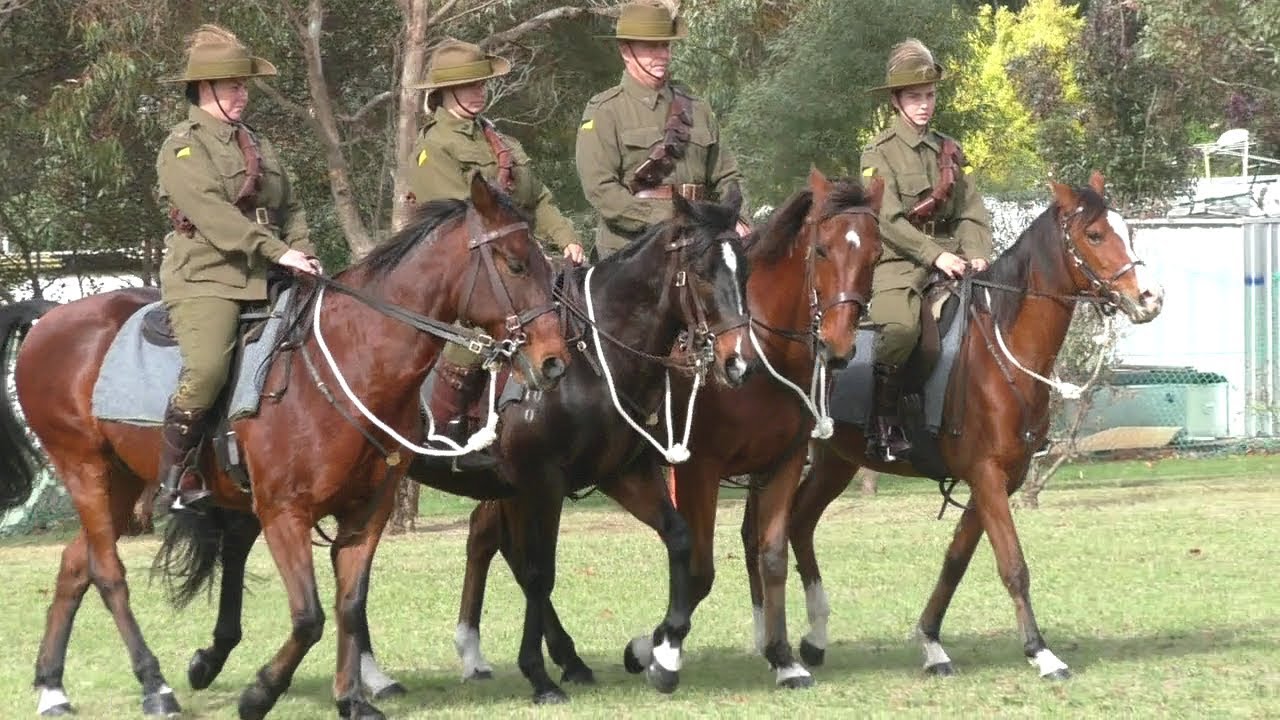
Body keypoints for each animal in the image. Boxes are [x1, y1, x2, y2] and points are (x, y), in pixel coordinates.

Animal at [0, 174, 571, 720]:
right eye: (516, 264)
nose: (554, 362)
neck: (352, 360)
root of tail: (53, 317)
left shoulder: (366, 514)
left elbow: (349, 604)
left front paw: (352, 700)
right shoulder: (284, 514)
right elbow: (309, 616)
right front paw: (259, 694)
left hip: (120, 480)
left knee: (75, 565)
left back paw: (52, 687)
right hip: (84, 470)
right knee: (108, 573)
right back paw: (154, 685)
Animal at [150, 187, 759, 707]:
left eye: (745, 268)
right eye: (702, 270)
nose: (737, 362)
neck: (593, 356)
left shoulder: (618, 474)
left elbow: (680, 542)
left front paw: (659, 653)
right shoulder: (540, 482)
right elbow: (538, 571)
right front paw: (541, 674)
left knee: (252, 545)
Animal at [444, 169, 887, 691]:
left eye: (876, 254)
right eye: (822, 250)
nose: (839, 347)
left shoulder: (781, 464)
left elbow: (771, 555)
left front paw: (782, 657)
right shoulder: (697, 469)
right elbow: (700, 569)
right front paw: (656, 649)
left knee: (489, 539)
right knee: (498, 545)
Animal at [749, 171, 1164, 680]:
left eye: (1128, 231)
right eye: (1095, 234)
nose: (1150, 298)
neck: (999, 350)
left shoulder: (1001, 480)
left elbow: (957, 560)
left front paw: (932, 643)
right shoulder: (985, 475)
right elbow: (1013, 563)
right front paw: (1041, 652)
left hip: (834, 461)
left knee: (799, 524)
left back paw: (813, 638)